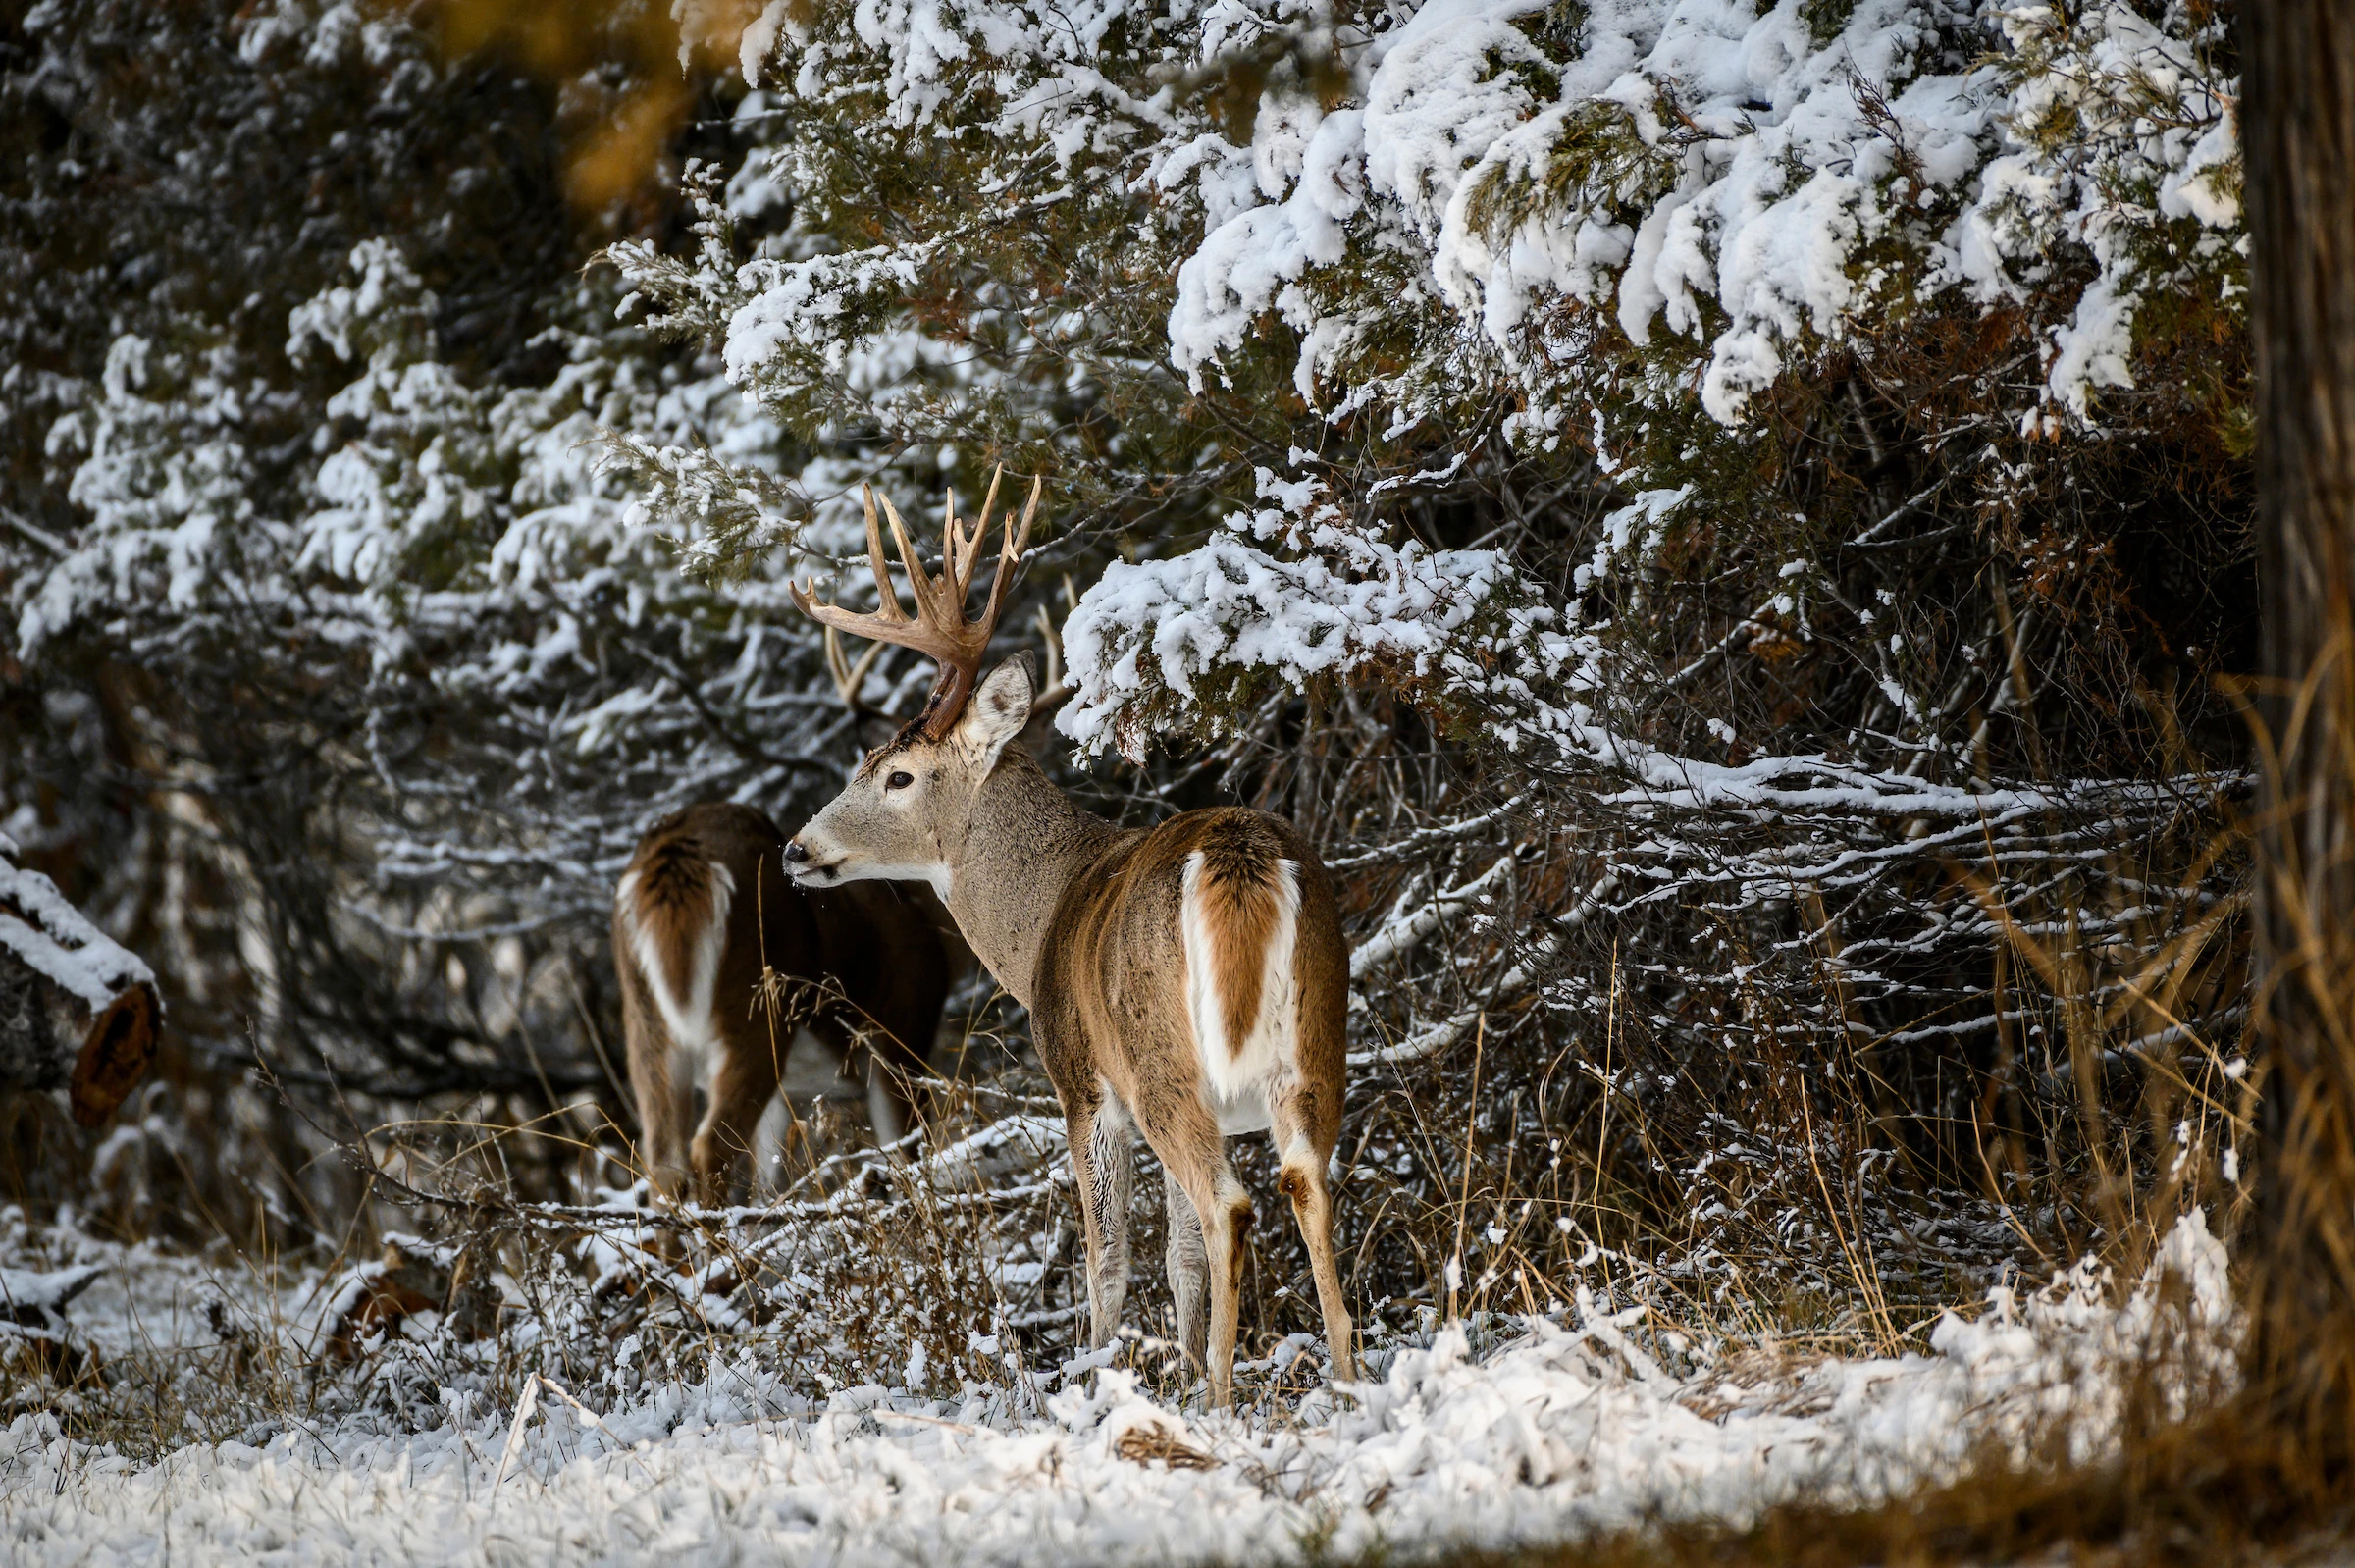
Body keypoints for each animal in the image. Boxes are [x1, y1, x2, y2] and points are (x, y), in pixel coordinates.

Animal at [616, 800, 966, 1200]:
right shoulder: (902, 1036)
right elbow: (905, 1153)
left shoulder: (787, 1096)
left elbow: (770, 1173)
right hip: (758, 1003)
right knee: (709, 1147)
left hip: (646, 1021)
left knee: (665, 1162)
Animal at [777, 473, 1356, 1393]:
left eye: (896, 775)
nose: (797, 849)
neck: (1045, 913)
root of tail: (1241, 859)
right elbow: (1179, 1258)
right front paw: (1175, 1371)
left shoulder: (1082, 1082)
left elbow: (1108, 1259)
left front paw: (1099, 1381)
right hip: (1315, 1034)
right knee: (1305, 1184)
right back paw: (1345, 1379)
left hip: (1159, 1058)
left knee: (1228, 1204)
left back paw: (1223, 1396)